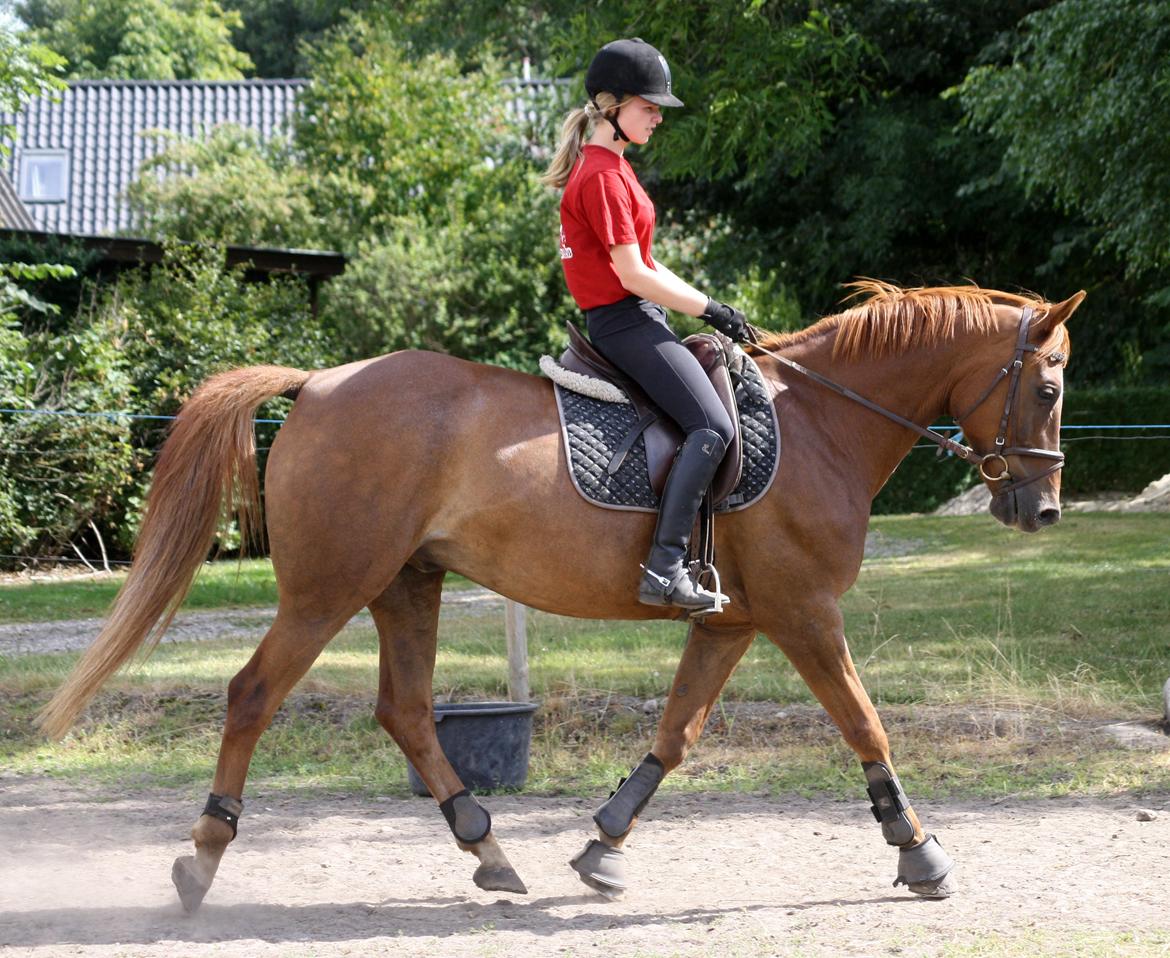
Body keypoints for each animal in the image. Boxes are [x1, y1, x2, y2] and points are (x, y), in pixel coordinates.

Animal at [34, 279, 1076, 912]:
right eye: (1050, 388)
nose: (1043, 509)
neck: (823, 420)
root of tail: (319, 383)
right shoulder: (803, 612)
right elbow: (865, 722)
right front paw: (919, 850)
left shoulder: (735, 620)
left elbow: (677, 733)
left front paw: (604, 845)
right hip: (330, 588)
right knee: (255, 694)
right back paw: (202, 860)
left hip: (407, 584)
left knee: (406, 710)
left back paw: (489, 851)